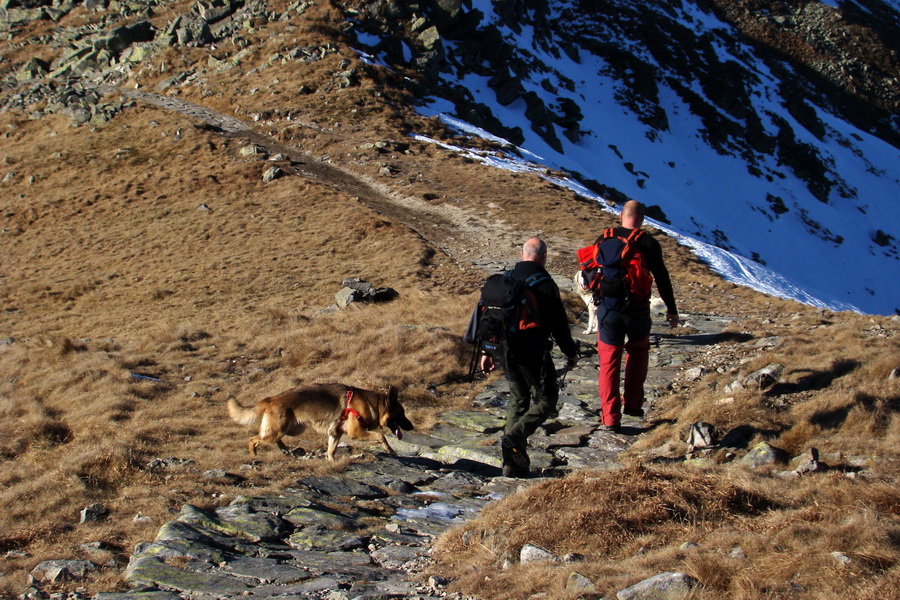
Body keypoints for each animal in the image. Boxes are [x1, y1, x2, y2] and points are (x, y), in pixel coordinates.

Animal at [227, 382, 414, 462]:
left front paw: (331, 461)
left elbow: (331, 450)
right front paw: (390, 450)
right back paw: (254, 455)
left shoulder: (335, 433)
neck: (373, 405)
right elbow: (380, 436)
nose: (412, 427)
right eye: (402, 414)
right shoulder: (356, 433)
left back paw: (285, 450)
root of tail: (270, 399)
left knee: (274, 440)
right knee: (253, 440)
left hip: (288, 429)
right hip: (278, 430)